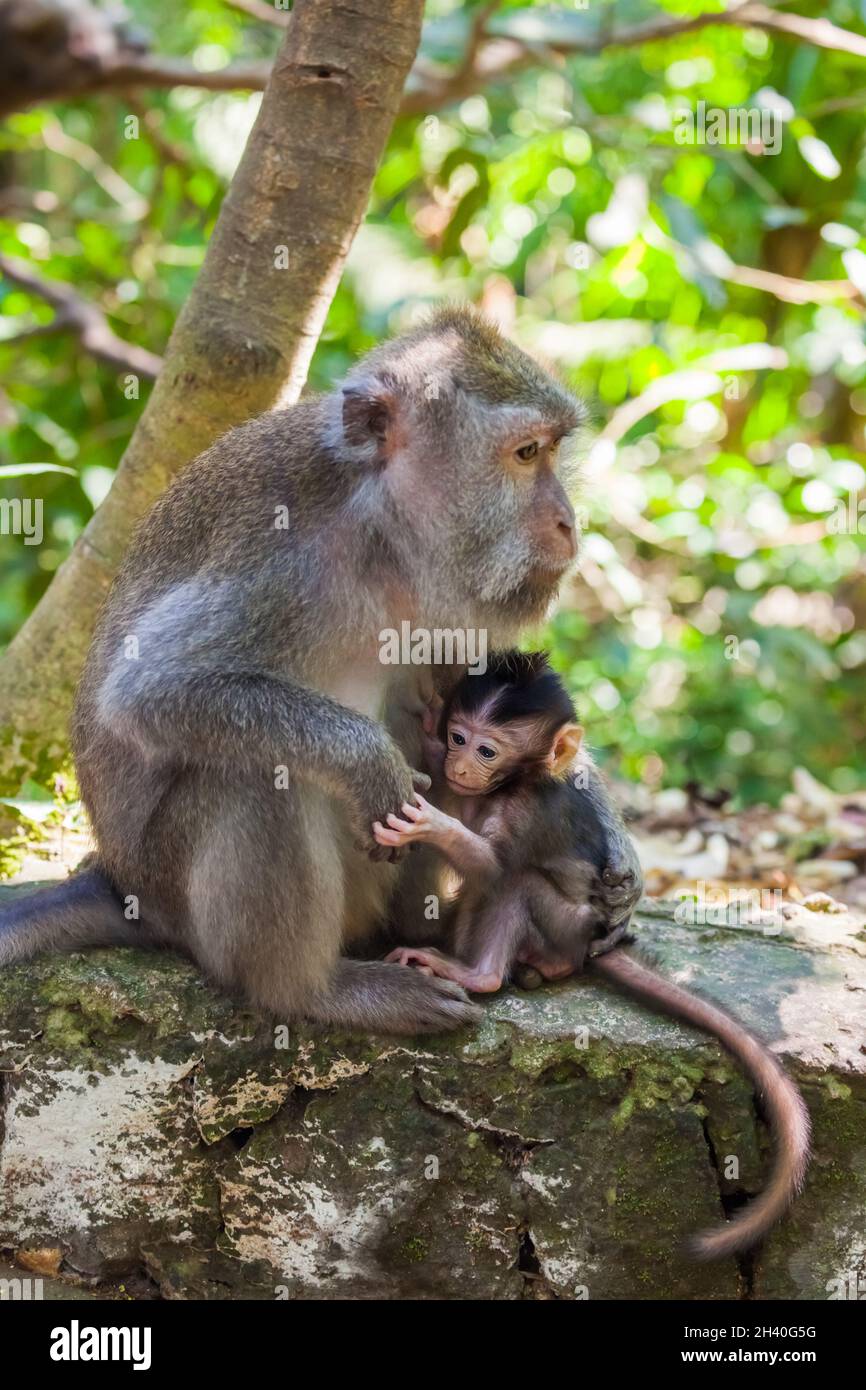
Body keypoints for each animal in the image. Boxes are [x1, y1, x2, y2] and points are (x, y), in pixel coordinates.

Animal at [0, 306, 642, 1034]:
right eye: (526, 453)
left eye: (552, 450)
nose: (568, 523)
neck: (382, 534)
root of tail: (122, 884)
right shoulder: (281, 563)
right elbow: (150, 690)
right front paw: (370, 764)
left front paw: (615, 842)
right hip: (181, 894)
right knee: (256, 774)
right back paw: (318, 991)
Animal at [378, 652, 811, 1261]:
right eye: (460, 736)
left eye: (488, 750)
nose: (461, 760)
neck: (518, 782)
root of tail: (588, 944)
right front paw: (430, 742)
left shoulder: (533, 808)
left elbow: (494, 866)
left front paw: (432, 823)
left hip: (565, 927)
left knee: (516, 881)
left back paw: (485, 975)